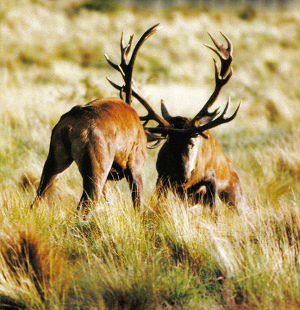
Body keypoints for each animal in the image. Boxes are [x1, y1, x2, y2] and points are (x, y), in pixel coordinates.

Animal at [31, 24, 161, 213]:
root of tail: (70, 127)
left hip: (54, 158)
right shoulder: (136, 164)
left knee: (38, 199)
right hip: (97, 165)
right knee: (85, 204)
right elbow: (138, 204)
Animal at [108, 30, 246, 214]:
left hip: (238, 198)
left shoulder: (212, 179)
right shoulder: (162, 177)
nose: (182, 177)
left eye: (192, 143)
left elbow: (215, 209)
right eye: (170, 144)